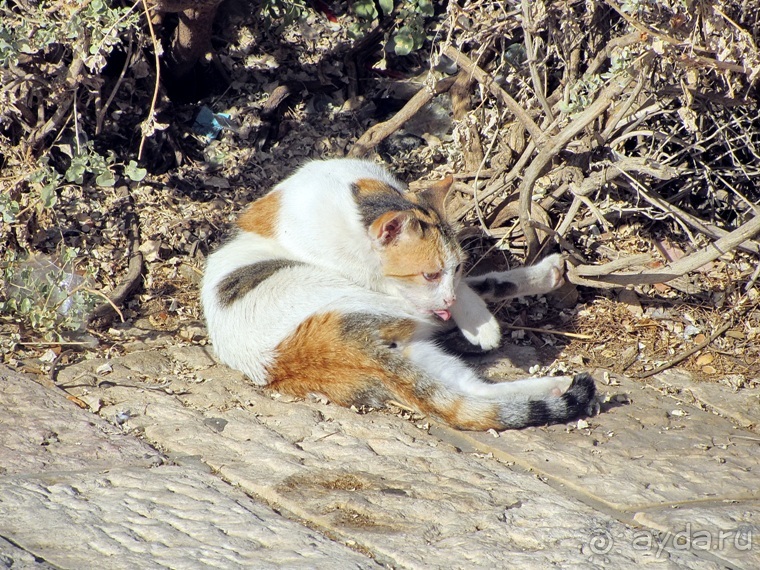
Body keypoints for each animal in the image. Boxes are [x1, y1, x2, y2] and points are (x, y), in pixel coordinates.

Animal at [203, 158, 600, 428]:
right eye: (429, 273)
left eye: (455, 267)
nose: (447, 301)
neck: (357, 205)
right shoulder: (400, 291)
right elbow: (468, 290)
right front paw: (481, 322)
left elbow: (468, 284)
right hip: (377, 310)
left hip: (419, 355)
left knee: (474, 394)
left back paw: (558, 384)